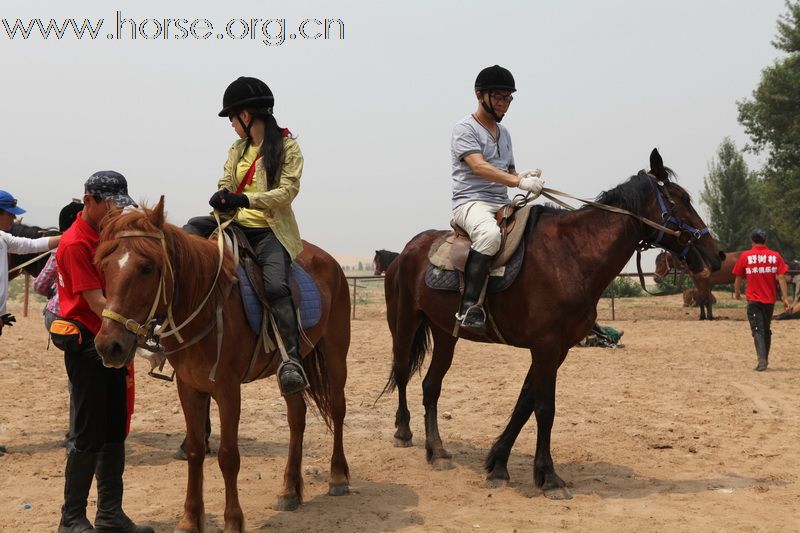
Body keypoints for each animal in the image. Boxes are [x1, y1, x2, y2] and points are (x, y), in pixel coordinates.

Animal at [92, 200, 348, 532]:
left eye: (147, 267)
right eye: (105, 267)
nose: (109, 345)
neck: (206, 304)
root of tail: (330, 261)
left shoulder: (228, 391)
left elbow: (228, 456)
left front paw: (233, 521)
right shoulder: (189, 387)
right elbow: (195, 450)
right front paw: (190, 520)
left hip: (335, 353)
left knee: (338, 410)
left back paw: (338, 476)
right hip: (293, 365)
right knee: (297, 418)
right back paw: (289, 490)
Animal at [382, 149, 724, 498]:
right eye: (680, 200)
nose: (717, 254)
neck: (572, 254)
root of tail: (406, 252)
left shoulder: (557, 350)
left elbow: (525, 403)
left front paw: (498, 465)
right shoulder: (545, 346)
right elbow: (545, 409)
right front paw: (549, 477)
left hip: (445, 334)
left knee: (431, 386)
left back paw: (437, 451)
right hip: (404, 325)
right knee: (402, 371)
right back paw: (403, 432)